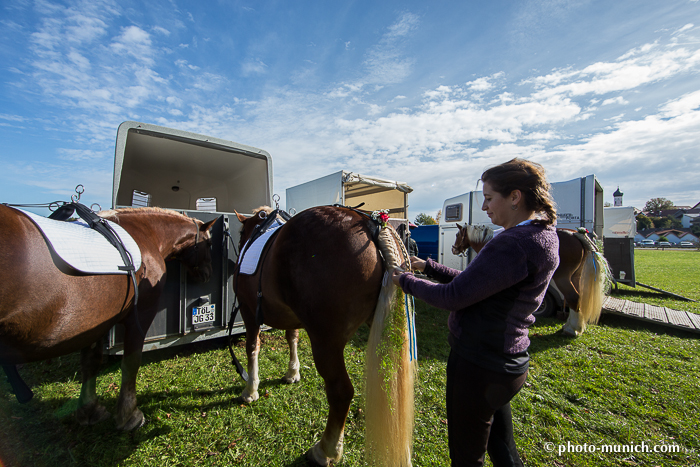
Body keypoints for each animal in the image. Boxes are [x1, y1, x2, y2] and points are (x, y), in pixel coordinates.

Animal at [0, 206, 216, 432]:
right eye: (209, 244)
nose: (207, 275)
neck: (147, 234)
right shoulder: (140, 314)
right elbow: (131, 361)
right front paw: (129, 415)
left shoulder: (96, 321)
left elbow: (90, 362)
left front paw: (90, 409)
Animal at [234, 207, 416, 467]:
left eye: (241, 234)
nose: (240, 246)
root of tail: (372, 224)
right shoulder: (292, 318)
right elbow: (292, 337)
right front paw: (292, 373)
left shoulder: (248, 311)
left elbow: (252, 347)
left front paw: (250, 390)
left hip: (326, 342)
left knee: (341, 392)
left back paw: (325, 450)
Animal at [452, 223, 608, 336]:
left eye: (457, 234)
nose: (454, 249)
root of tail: (576, 234)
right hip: (576, 276)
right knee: (577, 298)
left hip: (563, 277)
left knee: (572, 297)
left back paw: (571, 330)